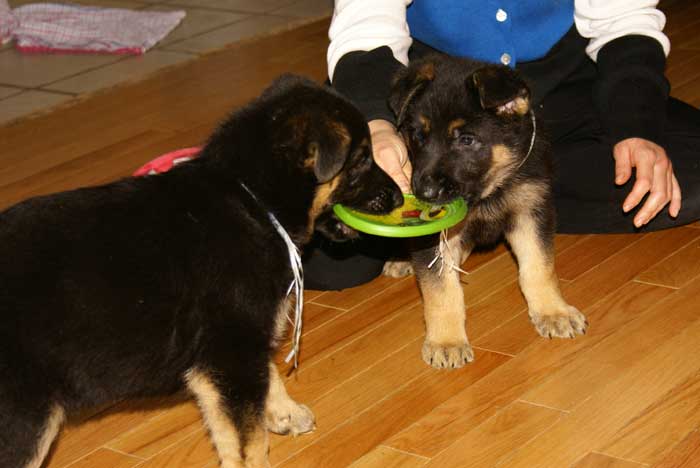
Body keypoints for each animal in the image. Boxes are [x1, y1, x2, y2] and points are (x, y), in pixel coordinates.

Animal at [0, 76, 402, 468]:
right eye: (361, 160)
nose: (399, 196)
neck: (251, 198)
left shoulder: (231, 352)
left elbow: (258, 387)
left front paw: (283, 411)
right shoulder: (232, 352)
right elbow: (249, 440)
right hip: (26, 419)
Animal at [388, 55, 584, 370]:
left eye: (466, 140)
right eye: (419, 135)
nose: (424, 194)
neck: (490, 191)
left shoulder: (531, 210)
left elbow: (539, 267)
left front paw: (554, 312)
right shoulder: (434, 237)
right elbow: (442, 291)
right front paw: (447, 342)